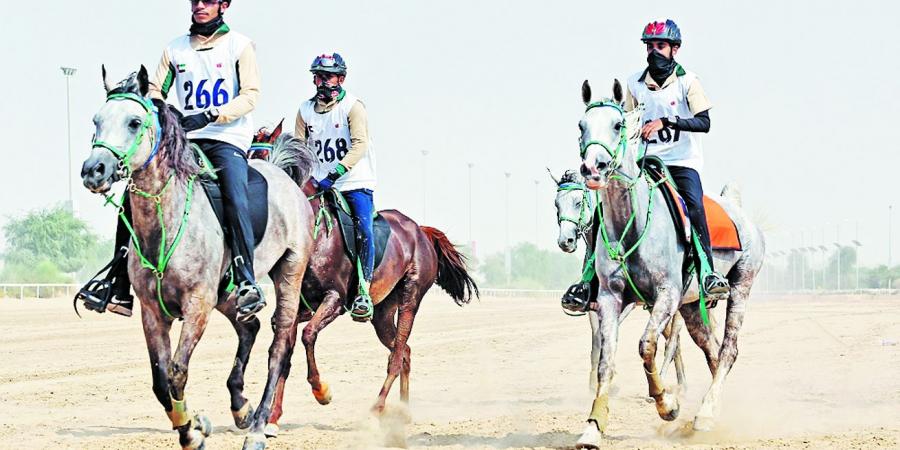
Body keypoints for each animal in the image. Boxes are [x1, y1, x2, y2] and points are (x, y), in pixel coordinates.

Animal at [79, 67, 316, 450]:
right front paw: (193, 425)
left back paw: (258, 427)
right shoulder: (152, 312)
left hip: (289, 274)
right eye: (96, 121)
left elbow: (177, 372)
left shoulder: (197, 305)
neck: (166, 223)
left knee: (280, 347)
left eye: (134, 122)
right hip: (227, 294)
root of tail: (284, 177)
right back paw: (241, 408)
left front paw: (193, 430)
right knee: (249, 327)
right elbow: (161, 379)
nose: (94, 170)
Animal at [572, 79, 764, 448]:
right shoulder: (609, 299)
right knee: (712, 349)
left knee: (729, 349)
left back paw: (704, 415)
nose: (592, 169)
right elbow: (605, 361)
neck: (632, 226)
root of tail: (737, 209)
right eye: (581, 126)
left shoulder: (666, 295)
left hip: (740, 286)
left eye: (618, 125)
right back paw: (708, 413)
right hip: (691, 307)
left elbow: (646, 345)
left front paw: (667, 404)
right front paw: (592, 427)